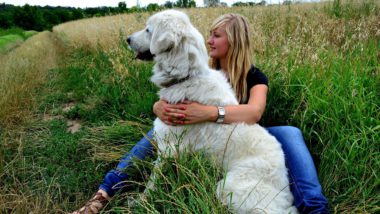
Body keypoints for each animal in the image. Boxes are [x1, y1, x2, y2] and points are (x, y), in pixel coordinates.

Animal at [127, 10, 296, 214]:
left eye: (148, 30)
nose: (127, 39)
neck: (187, 77)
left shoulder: (168, 149)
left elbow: (152, 182)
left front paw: (140, 202)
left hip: (229, 187)